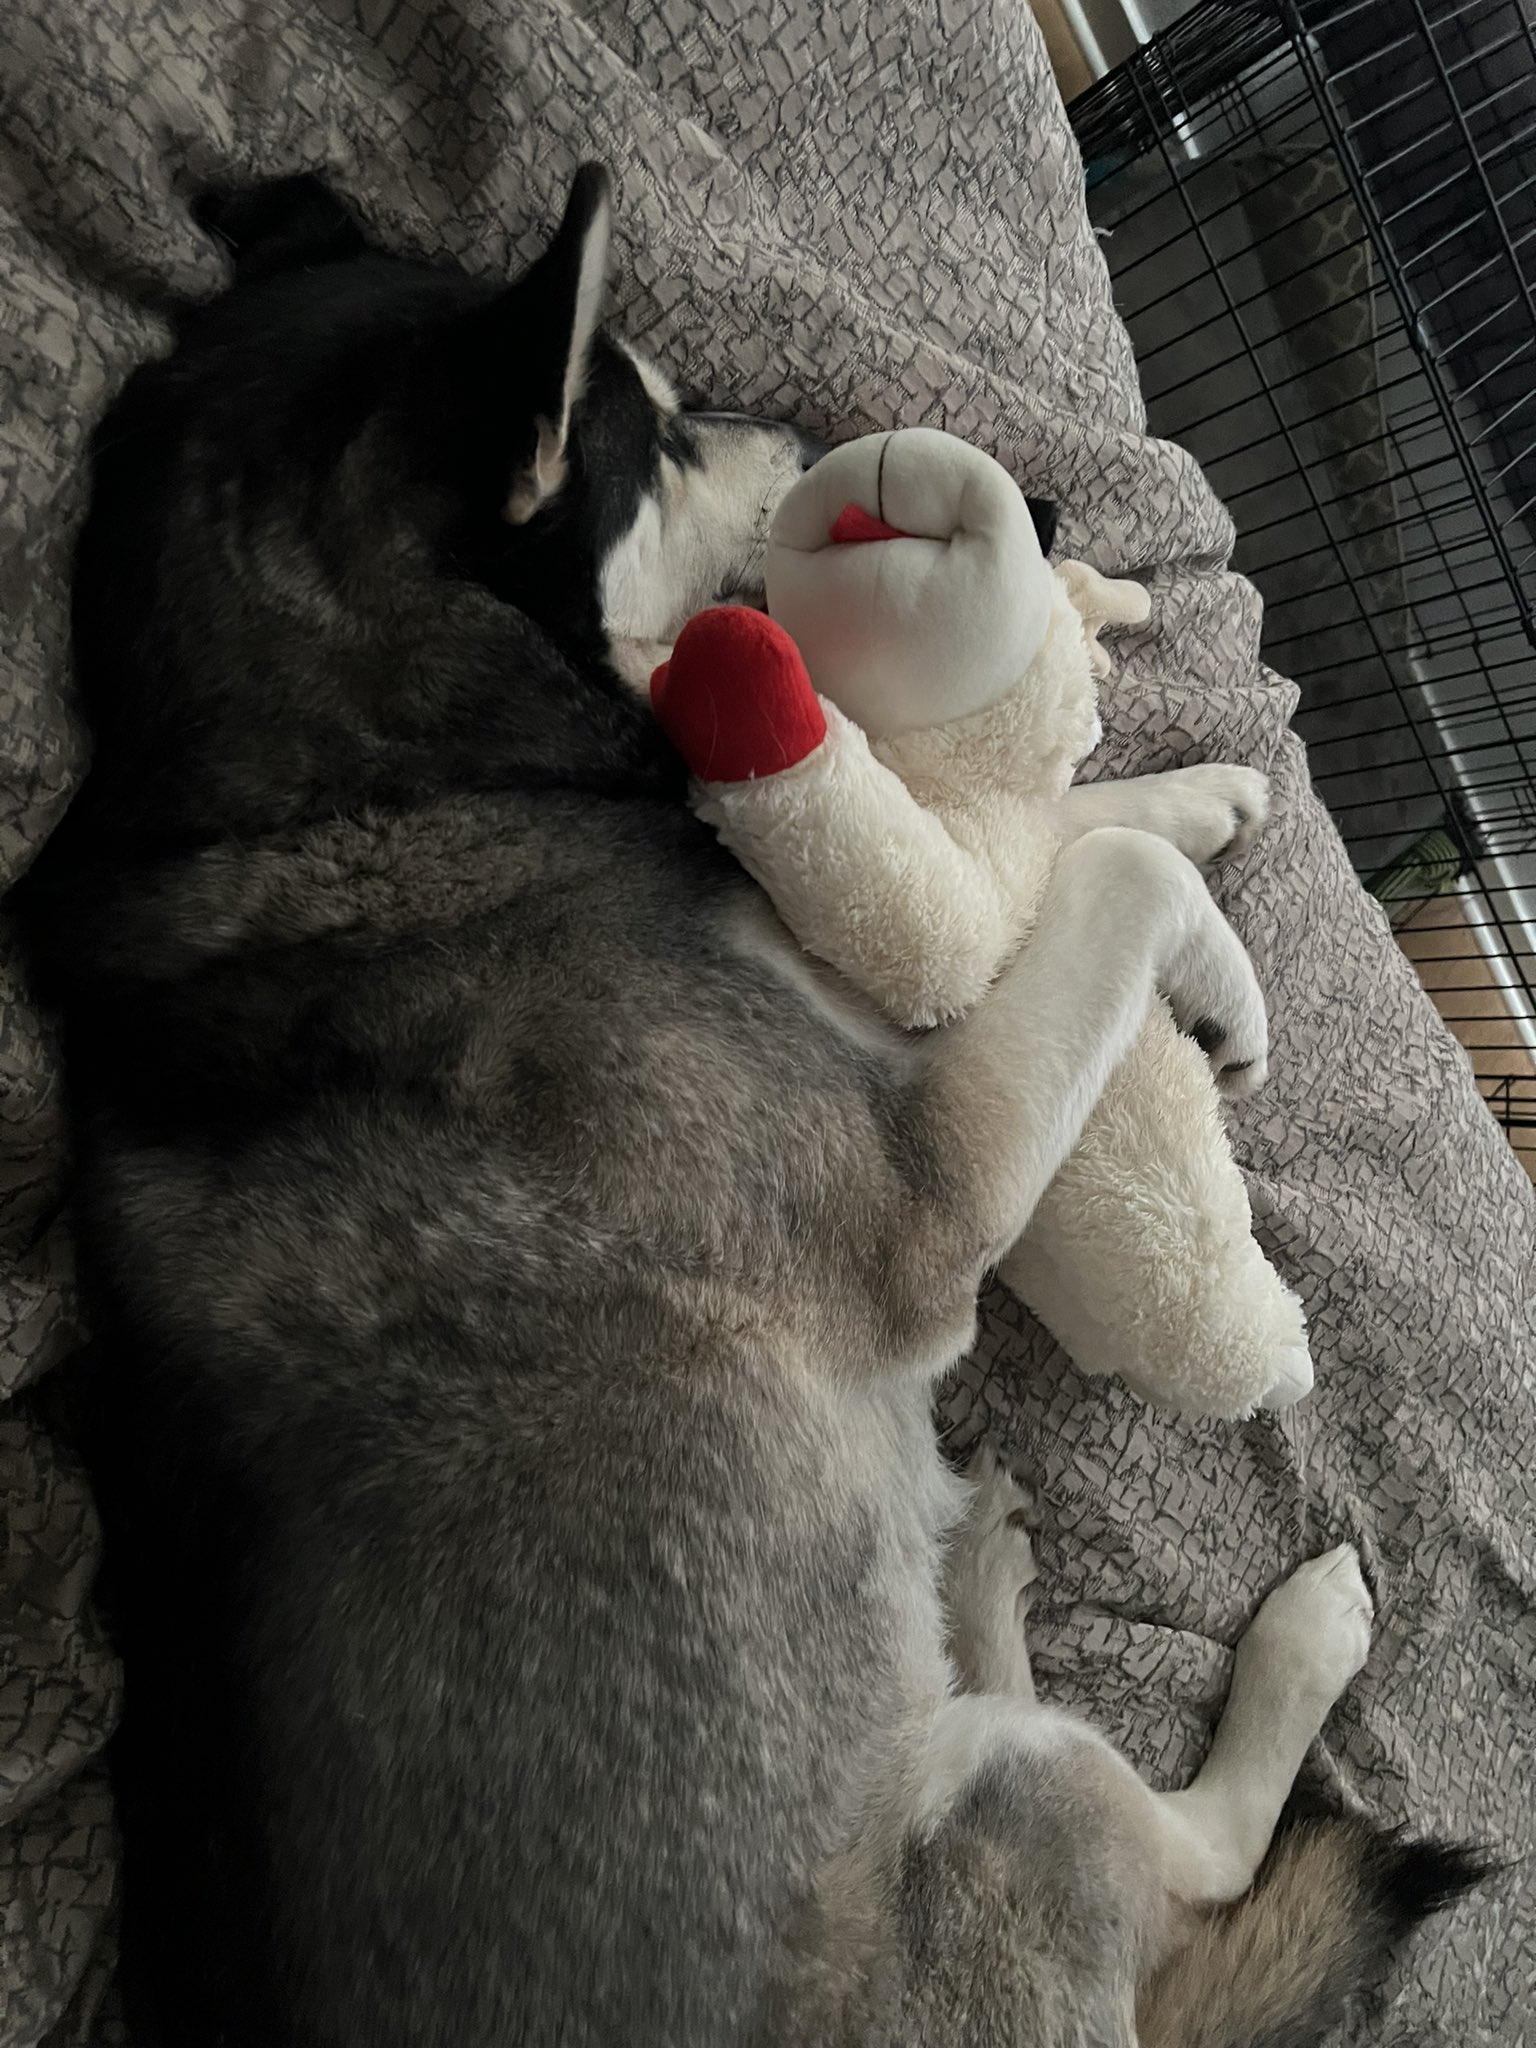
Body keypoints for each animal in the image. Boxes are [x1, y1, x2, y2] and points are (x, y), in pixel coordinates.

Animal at [9, 163, 1482, 2048]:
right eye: (658, 421)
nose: (801, 427)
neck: (338, 786)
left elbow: (1028, 856)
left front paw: (1192, 795)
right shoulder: (925, 1176)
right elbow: (1087, 887)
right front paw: (1212, 945)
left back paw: (970, 1574)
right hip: (1014, 1801)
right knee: (1197, 1856)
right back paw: (1285, 1643)